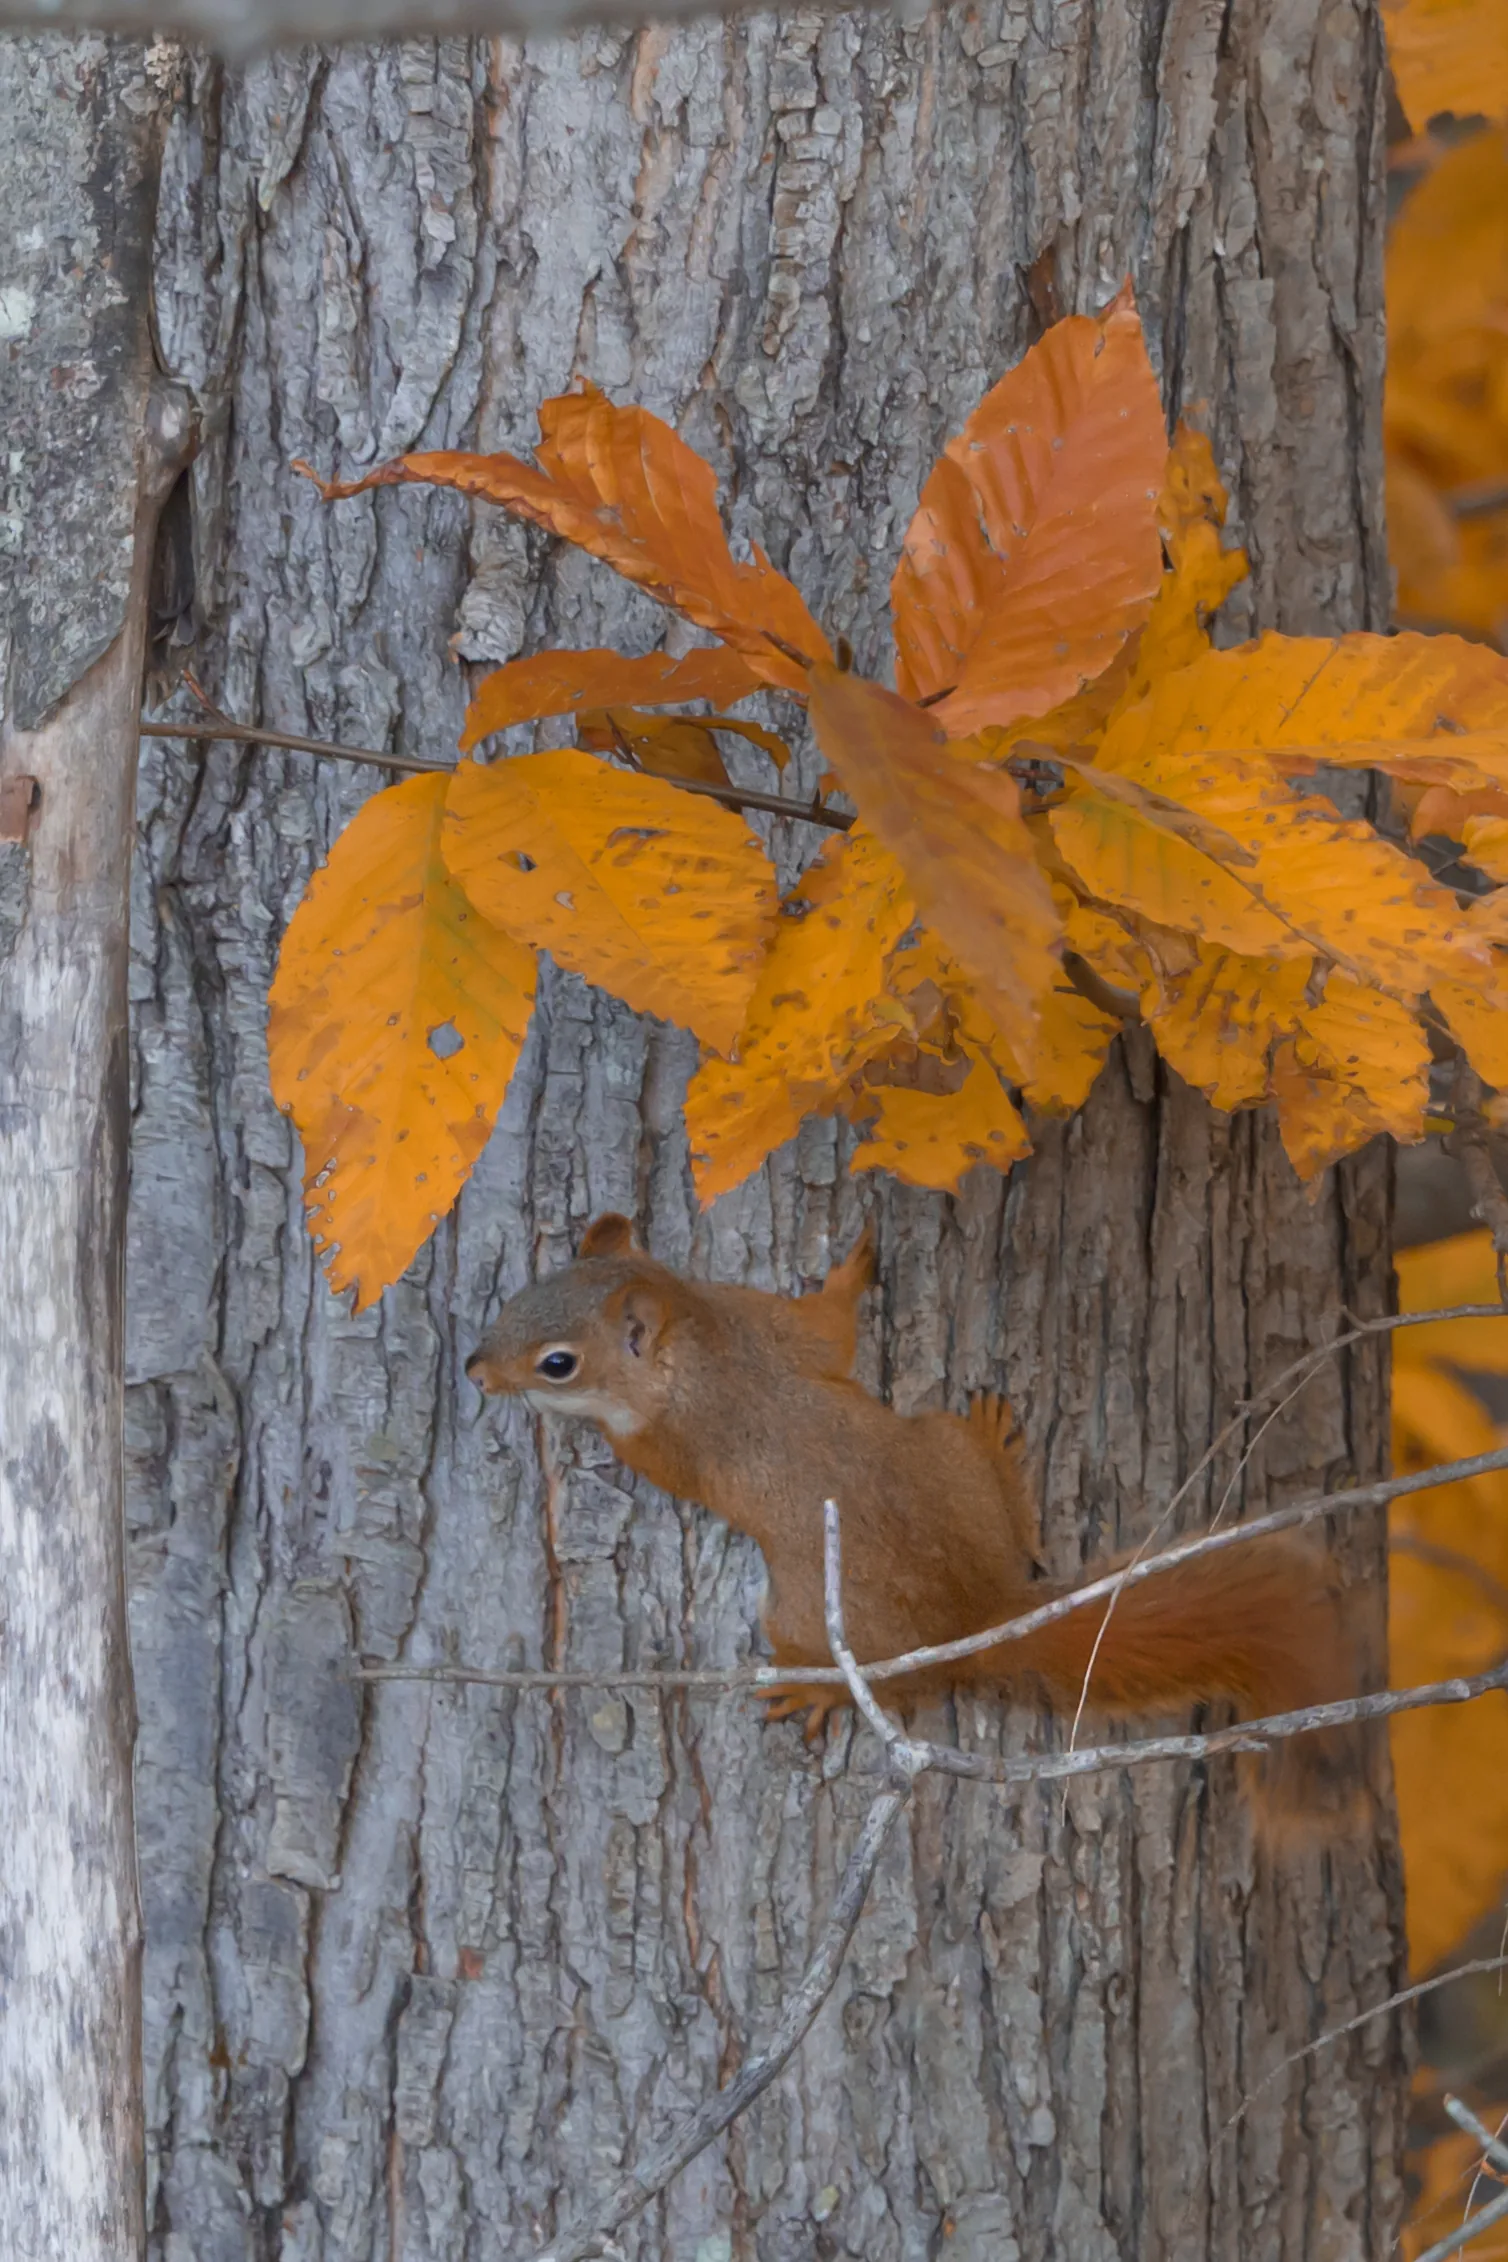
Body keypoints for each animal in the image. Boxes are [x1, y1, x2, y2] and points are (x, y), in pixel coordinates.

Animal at [466, 1215, 1368, 1831]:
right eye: (512, 1300)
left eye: (557, 1363)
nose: (475, 1371)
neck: (698, 1342)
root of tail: (981, 1616)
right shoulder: (771, 1322)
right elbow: (830, 1326)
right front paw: (854, 1267)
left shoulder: (671, 1440)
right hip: (942, 1451)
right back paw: (998, 1444)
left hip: (803, 1612)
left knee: (887, 1683)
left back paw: (814, 1689)